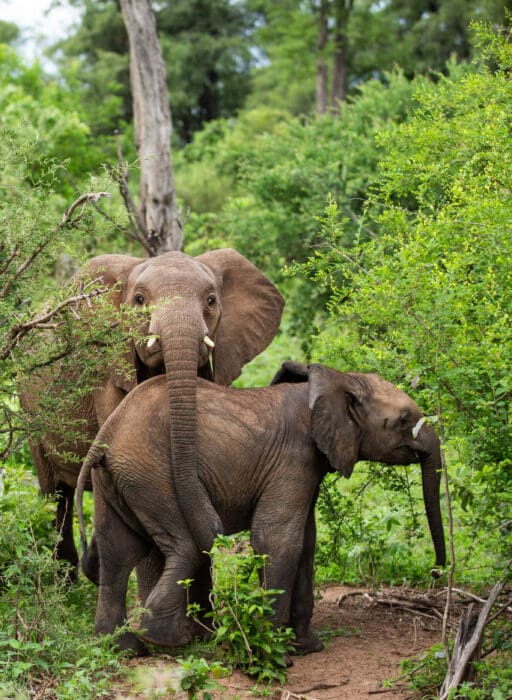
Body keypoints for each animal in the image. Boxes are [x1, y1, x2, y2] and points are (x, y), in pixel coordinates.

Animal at [76, 361, 446, 654]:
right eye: (403, 420)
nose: (436, 573)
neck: (336, 381)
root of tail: (106, 436)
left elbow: (306, 542)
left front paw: (306, 648)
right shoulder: (294, 458)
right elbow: (278, 539)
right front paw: (277, 652)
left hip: (119, 480)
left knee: (117, 555)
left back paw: (124, 649)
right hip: (153, 473)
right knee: (186, 546)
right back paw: (168, 640)